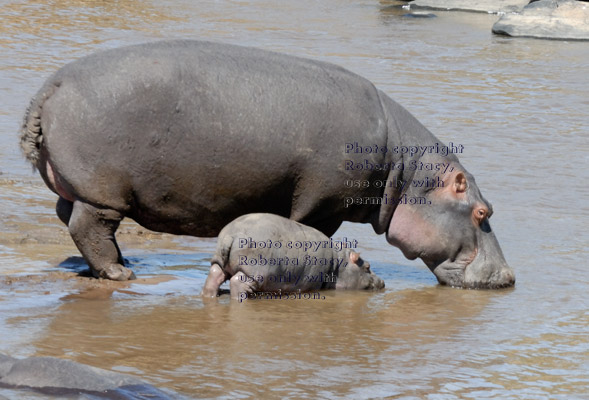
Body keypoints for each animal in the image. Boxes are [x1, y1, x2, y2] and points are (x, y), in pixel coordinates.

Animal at [203, 214, 386, 298]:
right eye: (368, 267)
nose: (383, 282)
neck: (338, 264)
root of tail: (231, 235)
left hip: (220, 262)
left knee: (214, 276)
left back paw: (210, 296)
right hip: (254, 273)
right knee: (236, 282)